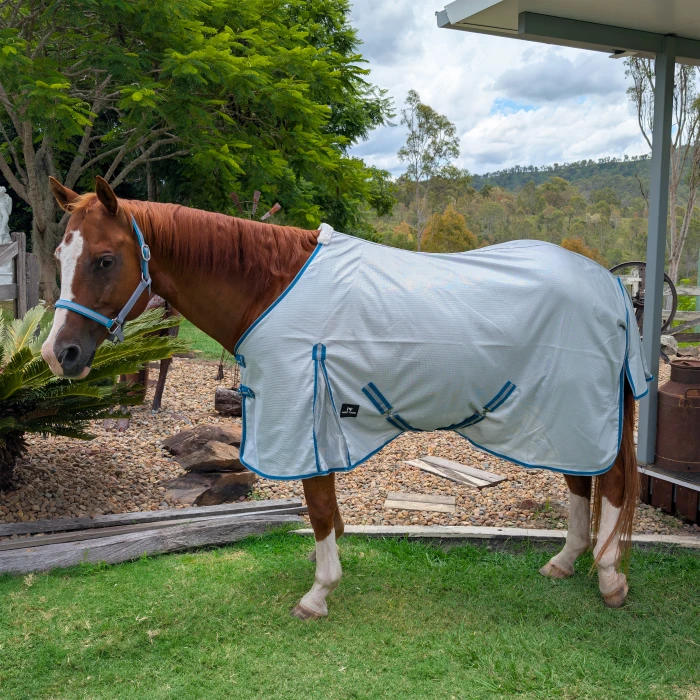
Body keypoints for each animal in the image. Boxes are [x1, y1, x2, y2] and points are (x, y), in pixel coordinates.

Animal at [41, 179, 636, 616]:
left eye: (103, 259)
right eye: (58, 255)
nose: (57, 354)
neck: (268, 289)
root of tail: (609, 285)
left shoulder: (304, 416)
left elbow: (320, 508)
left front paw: (318, 592)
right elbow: (325, 512)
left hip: (583, 409)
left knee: (609, 482)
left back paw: (609, 579)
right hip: (560, 417)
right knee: (580, 480)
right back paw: (565, 562)